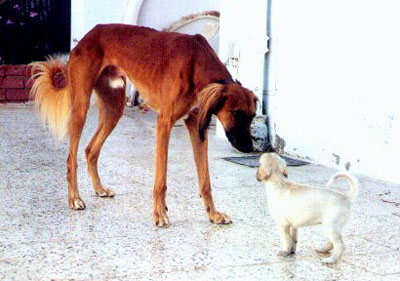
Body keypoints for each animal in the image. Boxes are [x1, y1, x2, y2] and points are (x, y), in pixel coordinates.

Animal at [30, 23, 256, 225]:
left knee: (90, 150)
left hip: (114, 108)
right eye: (236, 114)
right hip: (80, 108)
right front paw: (160, 214)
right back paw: (75, 199)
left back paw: (99, 189)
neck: (197, 61)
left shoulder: (197, 127)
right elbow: (161, 180)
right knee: (71, 159)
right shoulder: (164, 124)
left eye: (253, 116)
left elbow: (206, 181)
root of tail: (87, 36)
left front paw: (213, 214)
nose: (249, 148)